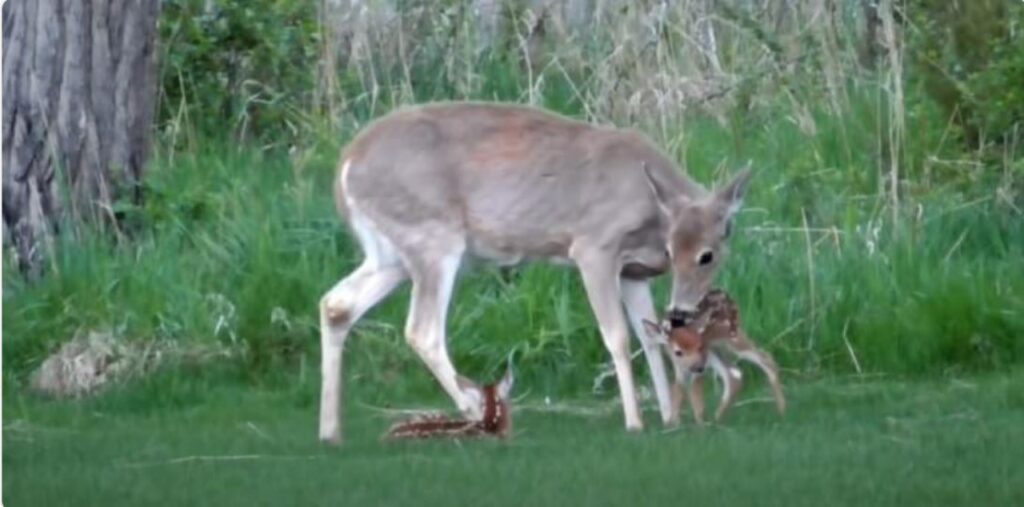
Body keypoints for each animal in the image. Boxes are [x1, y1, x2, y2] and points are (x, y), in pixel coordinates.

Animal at [319, 103, 753, 444]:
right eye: (683, 253)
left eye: (707, 254)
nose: (681, 310)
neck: (648, 207)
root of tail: (344, 166)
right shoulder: (593, 247)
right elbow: (616, 335)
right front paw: (635, 422)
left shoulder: (634, 271)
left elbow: (649, 337)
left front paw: (668, 417)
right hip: (432, 237)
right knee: (422, 330)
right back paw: (476, 412)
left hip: (390, 256)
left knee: (336, 304)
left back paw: (330, 431)